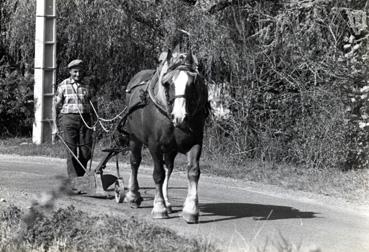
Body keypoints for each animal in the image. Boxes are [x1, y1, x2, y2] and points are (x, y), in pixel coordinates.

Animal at [122, 50, 208, 223]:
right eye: (168, 83)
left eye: (192, 84)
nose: (179, 116)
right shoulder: (154, 145)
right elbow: (158, 174)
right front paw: (159, 207)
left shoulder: (196, 143)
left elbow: (193, 172)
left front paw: (190, 210)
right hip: (134, 138)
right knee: (135, 162)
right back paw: (134, 196)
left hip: (170, 149)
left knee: (168, 167)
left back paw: (167, 202)